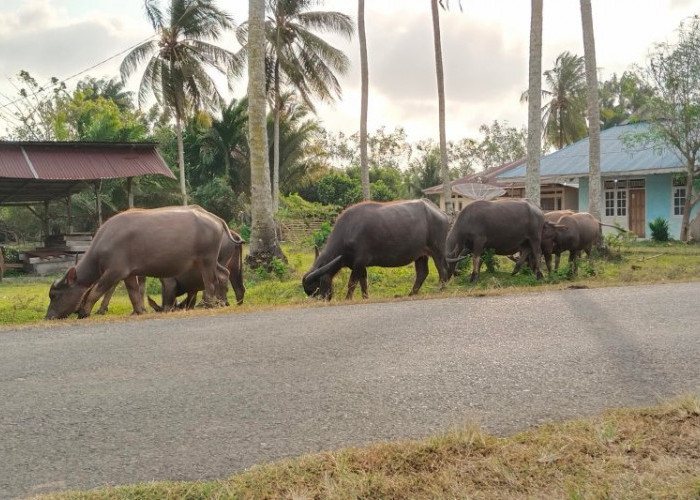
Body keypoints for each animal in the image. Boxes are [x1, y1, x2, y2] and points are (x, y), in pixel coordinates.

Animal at [45, 206, 232, 320]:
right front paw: (138, 311)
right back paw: (222, 302)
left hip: (206, 258)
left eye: (55, 295)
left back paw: (208, 303)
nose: (48, 316)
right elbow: (133, 293)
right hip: (211, 260)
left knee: (210, 281)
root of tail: (216, 219)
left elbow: (96, 291)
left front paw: (84, 312)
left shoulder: (115, 271)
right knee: (224, 274)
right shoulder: (128, 274)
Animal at [300, 199, 448, 300]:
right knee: (422, 273)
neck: (347, 232)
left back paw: (440, 290)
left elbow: (352, 282)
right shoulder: (359, 265)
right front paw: (365, 297)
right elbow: (363, 282)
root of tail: (440, 212)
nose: (322, 299)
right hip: (420, 254)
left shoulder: (359, 261)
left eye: (316, 287)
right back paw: (411, 294)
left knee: (442, 270)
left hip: (438, 251)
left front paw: (348, 298)